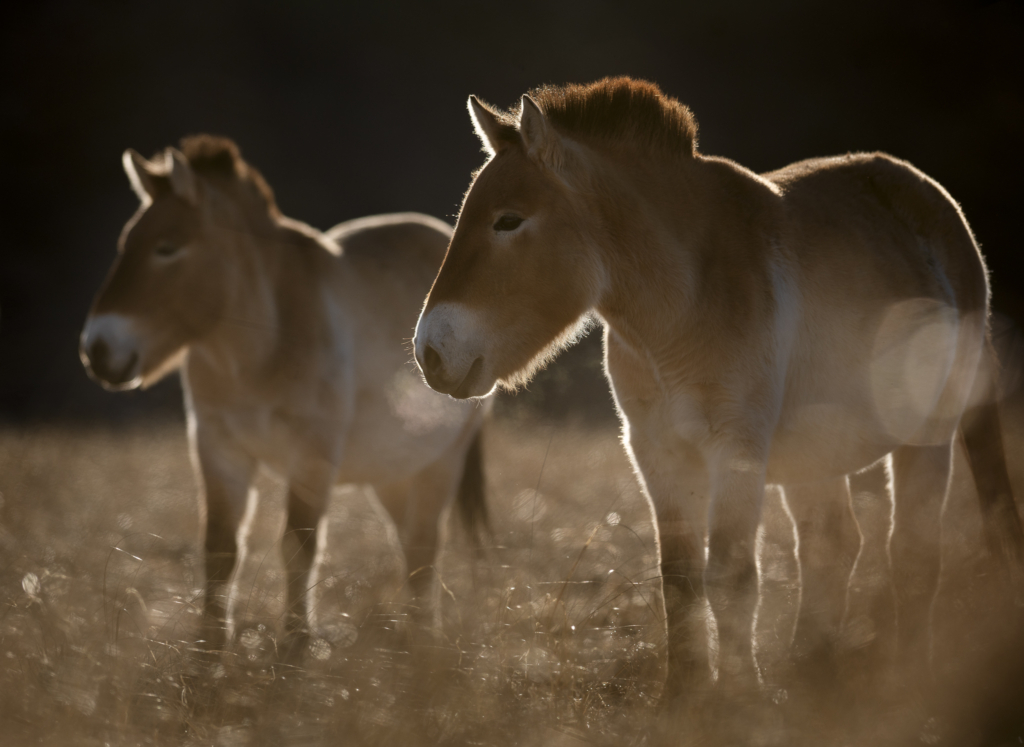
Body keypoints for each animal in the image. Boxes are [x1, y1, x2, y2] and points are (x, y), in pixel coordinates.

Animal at [81, 135, 489, 651]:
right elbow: (220, 551)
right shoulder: (218, 450)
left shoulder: (311, 456)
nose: (98, 349)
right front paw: (208, 652)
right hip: (393, 471)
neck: (258, 349)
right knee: (411, 551)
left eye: (166, 248)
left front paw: (297, 646)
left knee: (422, 548)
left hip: (440, 462)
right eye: (125, 245)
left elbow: (299, 546)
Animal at [415, 78, 1024, 696]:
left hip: (928, 437)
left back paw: (908, 678)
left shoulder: (735, 449)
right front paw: (682, 695)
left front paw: (739, 697)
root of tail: (934, 205)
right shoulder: (658, 454)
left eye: (508, 220)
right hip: (817, 456)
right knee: (832, 547)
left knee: (913, 556)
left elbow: (732, 577)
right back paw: (811, 672)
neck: (681, 307)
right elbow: (680, 579)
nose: (431, 354)